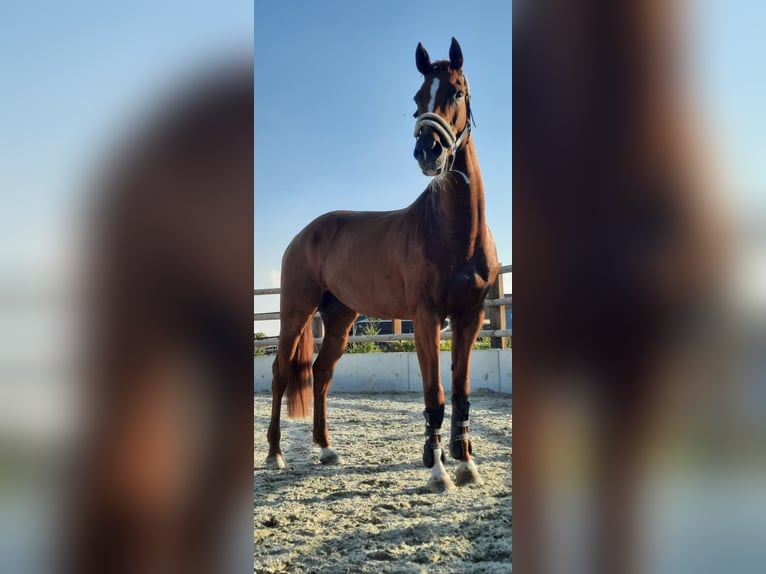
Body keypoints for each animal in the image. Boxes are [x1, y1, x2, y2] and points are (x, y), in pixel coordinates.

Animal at [265, 38, 499, 492]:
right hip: (296, 312)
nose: (427, 151)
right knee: (281, 372)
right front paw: (438, 471)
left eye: (456, 92)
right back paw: (275, 454)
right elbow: (435, 395)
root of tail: (303, 235)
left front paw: (466, 463)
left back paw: (326, 449)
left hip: (340, 318)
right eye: (416, 98)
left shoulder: (471, 317)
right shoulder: (426, 318)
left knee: (321, 374)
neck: (455, 232)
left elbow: (460, 392)